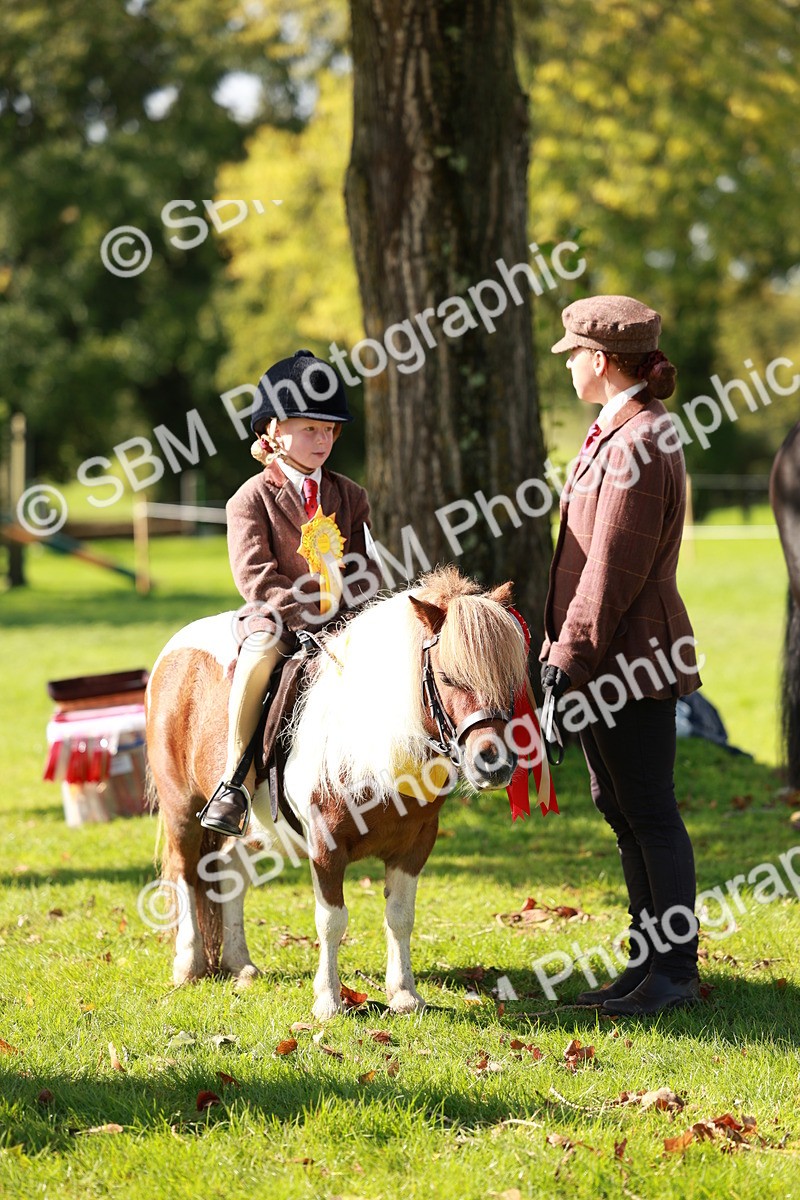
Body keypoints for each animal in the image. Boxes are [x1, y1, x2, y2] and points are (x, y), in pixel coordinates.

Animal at [145, 565, 528, 1020]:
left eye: (511, 679)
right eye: (449, 677)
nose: (495, 764)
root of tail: (175, 648)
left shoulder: (416, 844)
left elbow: (401, 916)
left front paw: (405, 994)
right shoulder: (326, 846)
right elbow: (332, 921)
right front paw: (328, 1001)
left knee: (229, 869)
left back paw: (241, 964)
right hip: (181, 810)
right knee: (185, 875)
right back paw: (189, 965)